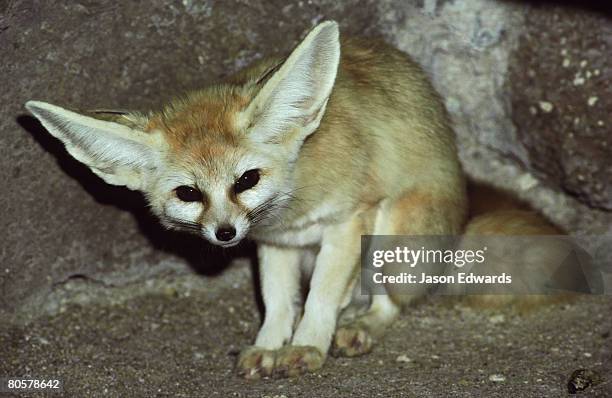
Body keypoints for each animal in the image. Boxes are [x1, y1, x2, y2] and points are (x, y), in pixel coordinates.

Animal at [25, 21, 556, 376]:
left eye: (246, 180)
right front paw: (270, 344)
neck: (294, 204)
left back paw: (361, 325)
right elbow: (279, 302)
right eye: (188, 193)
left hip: (393, 237)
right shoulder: (274, 244)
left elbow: (319, 296)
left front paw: (306, 346)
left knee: (391, 300)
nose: (224, 233)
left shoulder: (348, 222)